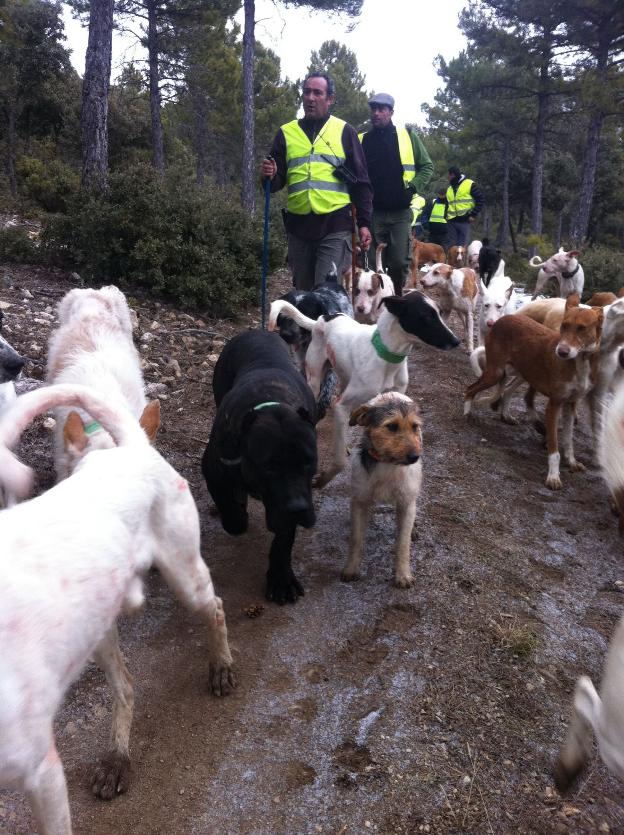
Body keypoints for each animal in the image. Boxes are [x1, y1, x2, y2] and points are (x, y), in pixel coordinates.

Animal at [0, 386, 233, 835]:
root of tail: (133, 445)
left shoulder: (42, 773)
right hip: (98, 629)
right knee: (124, 685)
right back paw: (117, 760)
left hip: (185, 577)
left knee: (214, 606)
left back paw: (221, 665)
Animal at [202, 332, 316, 608]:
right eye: (269, 467)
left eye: (309, 462)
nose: (298, 509)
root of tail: (256, 330)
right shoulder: (213, 471)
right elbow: (229, 510)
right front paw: (237, 516)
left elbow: (284, 539)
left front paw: (281, 578)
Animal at [272, 272, 352, 422]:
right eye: (283, 314)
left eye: (305, 312)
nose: (286, 335)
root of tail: (331, 281)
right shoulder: (303, 362)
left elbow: (328, 384)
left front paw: (322, 405)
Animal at [466, 296, 604, 486]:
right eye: (564, 325)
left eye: (582, 328)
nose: (561, 352)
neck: (579, 362)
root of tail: (504, 318)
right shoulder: (554, 405)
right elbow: (554, 447)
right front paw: (553, 476)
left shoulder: (570, 404)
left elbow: (568, 440)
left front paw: (572, 462)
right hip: (496, 372)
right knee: (470, 389)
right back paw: (467, 414)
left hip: (520, 372)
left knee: (505, 391)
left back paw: (506, 415)